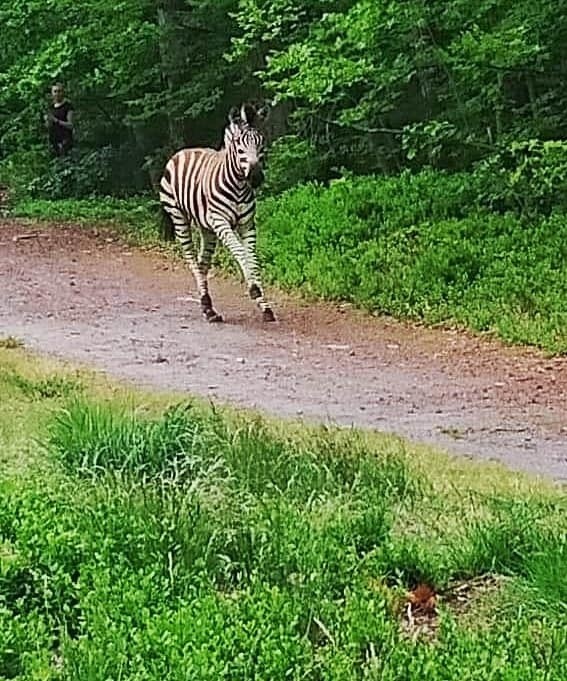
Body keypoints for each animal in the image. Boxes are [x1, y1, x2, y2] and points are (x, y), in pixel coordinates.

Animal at [159, 102, 276, 322]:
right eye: (239, 145)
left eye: (261, 143)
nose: (256, 177)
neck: (238, 186)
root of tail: (184, 151)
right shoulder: (221, 222)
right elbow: (240, 252)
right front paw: (254, 290)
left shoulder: (248, 224)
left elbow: (253, 258)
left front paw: (264, 306)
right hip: (179, 218)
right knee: (193, 261)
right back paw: (207, 306)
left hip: (207, 229)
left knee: (202, 264)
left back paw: (208, 308)